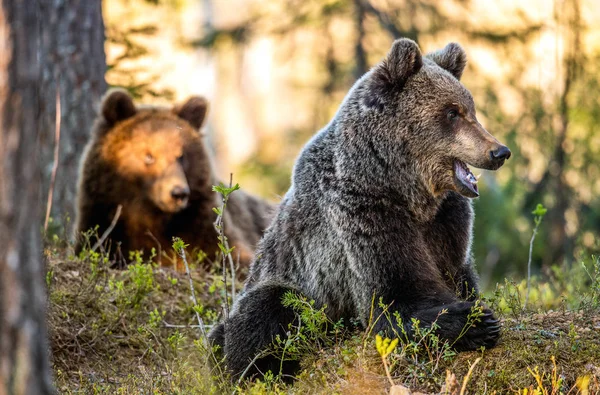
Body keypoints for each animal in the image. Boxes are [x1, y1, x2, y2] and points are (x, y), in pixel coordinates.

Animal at [73, 89, 276, 270]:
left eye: (181, 155)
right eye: (149, 156)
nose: (178, 193)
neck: (150, 216)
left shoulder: (203, 223)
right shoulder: (103, 218)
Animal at [207, 39, 510, 380]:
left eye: (471, 109)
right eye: (451, 112)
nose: (499, 151)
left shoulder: (447, 219)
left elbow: (457, 271)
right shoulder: (361, 211)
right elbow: (395, 296)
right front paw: (473, 321)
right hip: (279, 286)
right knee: (265, 307)